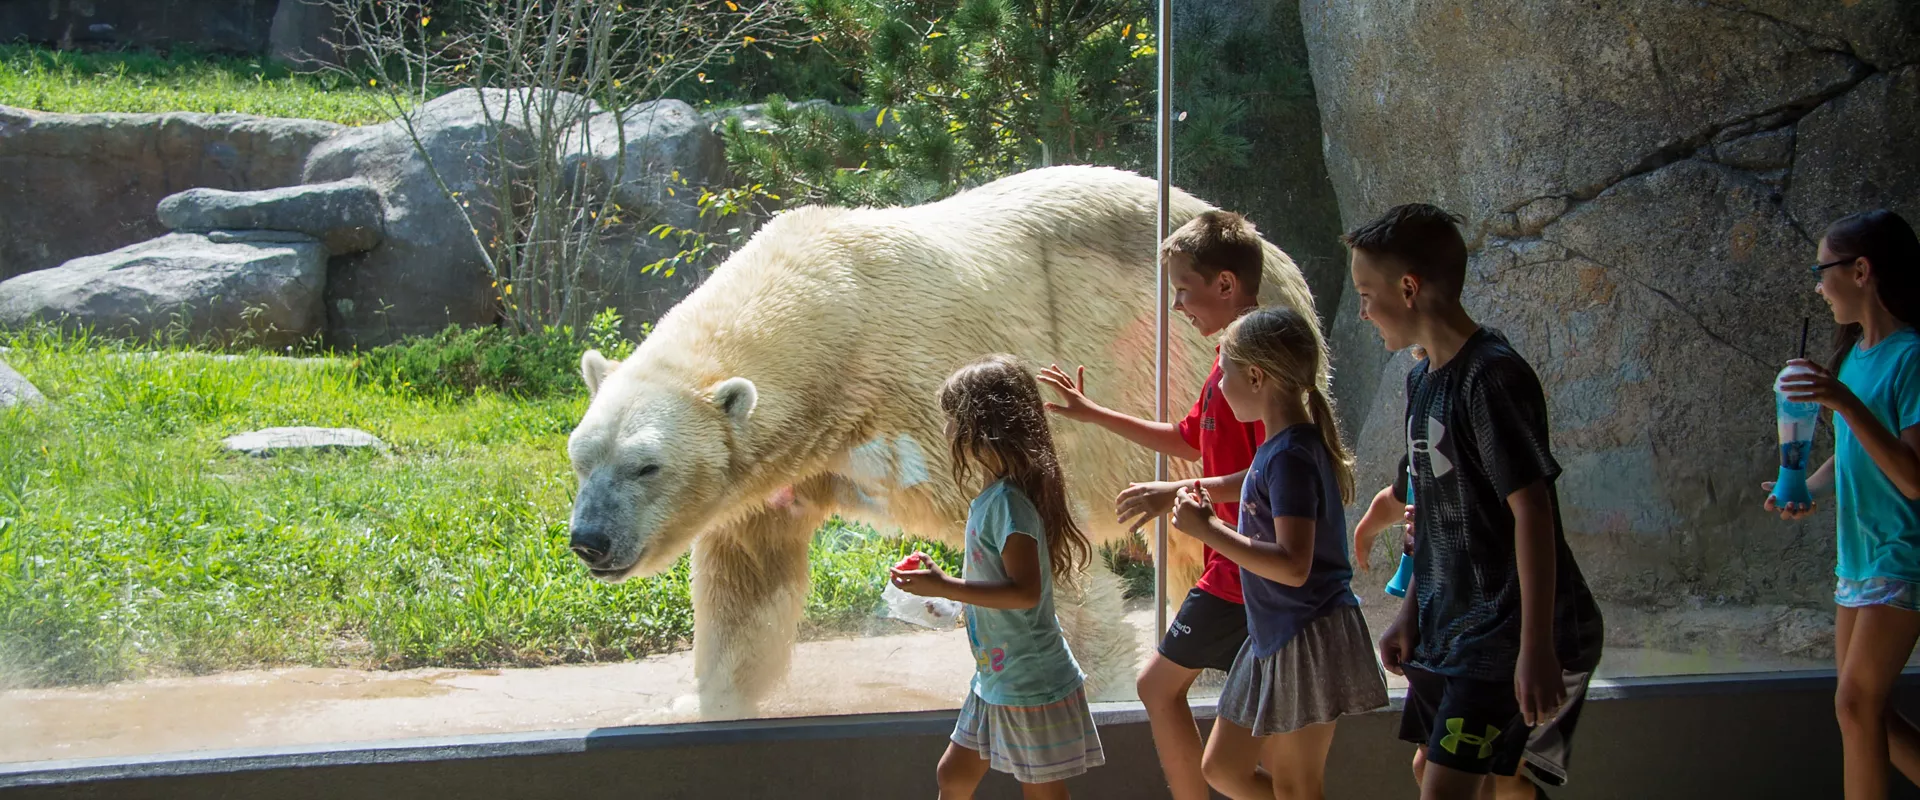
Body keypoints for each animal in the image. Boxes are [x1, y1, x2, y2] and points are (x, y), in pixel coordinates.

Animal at [560, 162, 1328, 717]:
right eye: (581, 459)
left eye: (646, 466)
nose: (589, 541)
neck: (833, 310)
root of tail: (1277, 253)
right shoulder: (787, 466)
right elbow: (746, 577)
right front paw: (698, 705)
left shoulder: (929, 390)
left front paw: (1101, 688)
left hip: (1188, 366)